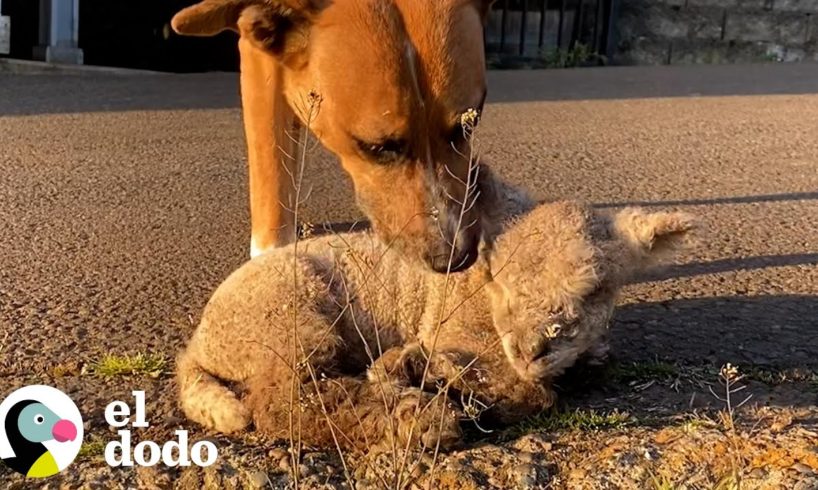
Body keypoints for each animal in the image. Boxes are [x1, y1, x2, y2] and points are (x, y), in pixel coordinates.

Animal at [175, 175, 692, 452]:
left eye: (593, 289)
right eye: (499, 280)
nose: (532, 349)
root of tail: (199, 344)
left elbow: (584, 367)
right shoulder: (452, 330)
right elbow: (531, 393)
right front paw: (422, 371)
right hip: (286, 314)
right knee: (289, 399)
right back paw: (420, 416)